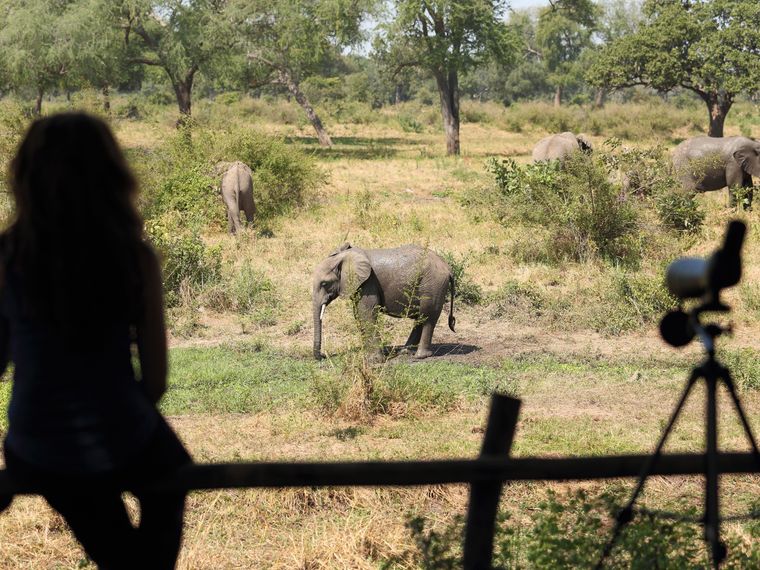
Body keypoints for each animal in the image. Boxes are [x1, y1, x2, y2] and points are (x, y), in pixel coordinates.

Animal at [312, 243, 456, 361]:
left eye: (324, 283)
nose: (323, 356)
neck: (345, 257)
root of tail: (448, 268)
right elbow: (358, 314)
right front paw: (366, 355)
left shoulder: (368, 282)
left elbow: (367, 313)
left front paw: (374, 360)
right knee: (420, 318)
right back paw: (405, 352)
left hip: (433, 285)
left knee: (427, 317)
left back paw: (420, 356)